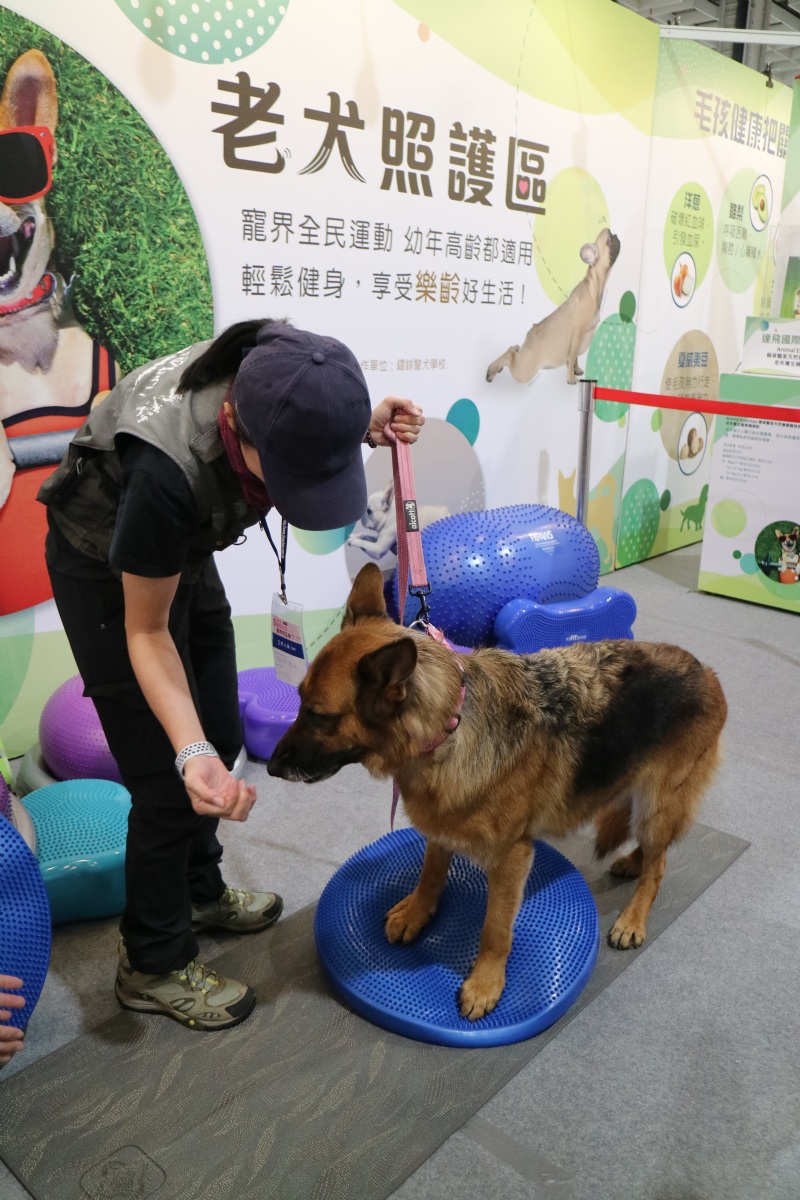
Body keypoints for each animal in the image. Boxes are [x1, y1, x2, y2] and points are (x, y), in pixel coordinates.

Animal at [268, 563, 727, 1021]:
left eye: (319, 716)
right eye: (298, 701)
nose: (270, 768)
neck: (449, 728)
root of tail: (707, 671)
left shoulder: (510, 860)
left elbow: (494, 930)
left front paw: (485, 982)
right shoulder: (442, 827)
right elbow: (430, 873)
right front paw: (418, 911)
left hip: (656, 803)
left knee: (659, 864)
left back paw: (633, 917)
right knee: (652, 848)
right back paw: (633, 862)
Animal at [486, 228, 621, 387]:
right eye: (609, 240)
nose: (615, 234)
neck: (593, 286)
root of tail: (529, 335)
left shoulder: (578, 339)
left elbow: (574, 357)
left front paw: (576, 370)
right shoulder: (578, 332)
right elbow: (573, 355)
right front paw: (570, 378)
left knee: (513, 349)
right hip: (524, 371)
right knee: (511, 354)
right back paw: (492, 371)